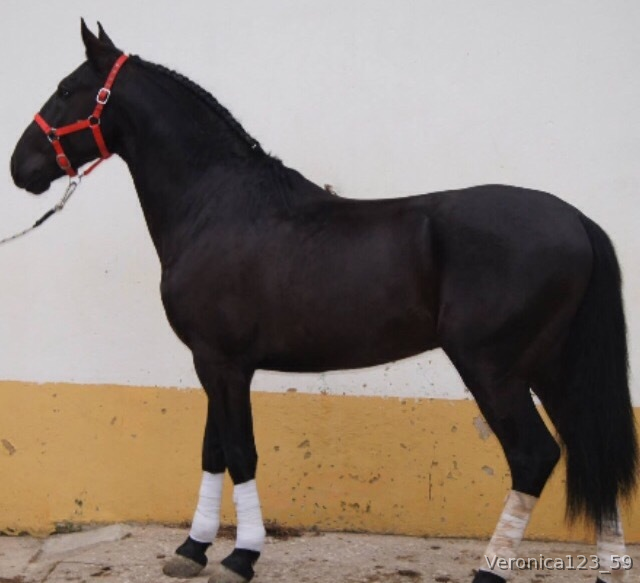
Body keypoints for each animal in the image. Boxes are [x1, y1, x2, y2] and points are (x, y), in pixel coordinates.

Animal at [10, 21, 638, 583]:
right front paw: (192, 549)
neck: (217, 204)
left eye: (67, 89)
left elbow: (240, 450)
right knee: (592, 447)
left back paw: (490, 570)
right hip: (554, 367)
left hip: (494, 369)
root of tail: (577, 220)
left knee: (534, 457)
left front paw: (241, 557)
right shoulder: (212, 363)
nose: (20, 167)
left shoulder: (224, 362)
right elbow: (213, 450)